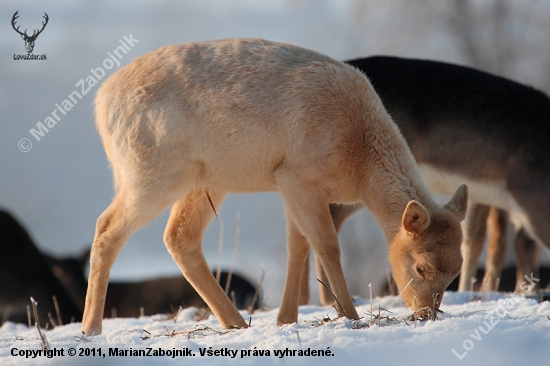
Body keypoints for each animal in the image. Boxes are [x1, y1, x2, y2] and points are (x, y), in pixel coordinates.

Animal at [83, 38, 470, 336]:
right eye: (420, 267)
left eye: (456, 271)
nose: (425, 313)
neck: (357, 165)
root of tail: (100, 105)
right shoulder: (298, 175)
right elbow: (327, 245)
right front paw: (350, 316)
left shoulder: (288, 183)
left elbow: (297, 245)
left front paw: (287, 319)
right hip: (149, 172)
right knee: (106, 227)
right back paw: (91, 328)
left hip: (205, 179)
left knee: (179, 237)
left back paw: (236, 323)